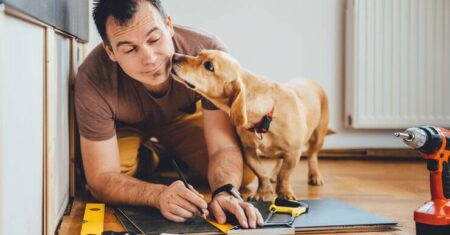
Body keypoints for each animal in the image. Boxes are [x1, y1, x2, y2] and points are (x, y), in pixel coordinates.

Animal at [171, 49, 332, 200]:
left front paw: (284, 192)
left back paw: (315, 176)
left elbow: (285, 175)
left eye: (209, 66)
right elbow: (261, 173)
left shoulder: (293, 152)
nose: (174, 56)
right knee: (279, 161)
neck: (266, 116)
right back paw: (274, 175)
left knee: (312, 155)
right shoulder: (248, 150)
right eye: (199, 54)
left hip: (318, 138)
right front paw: (263, 192)